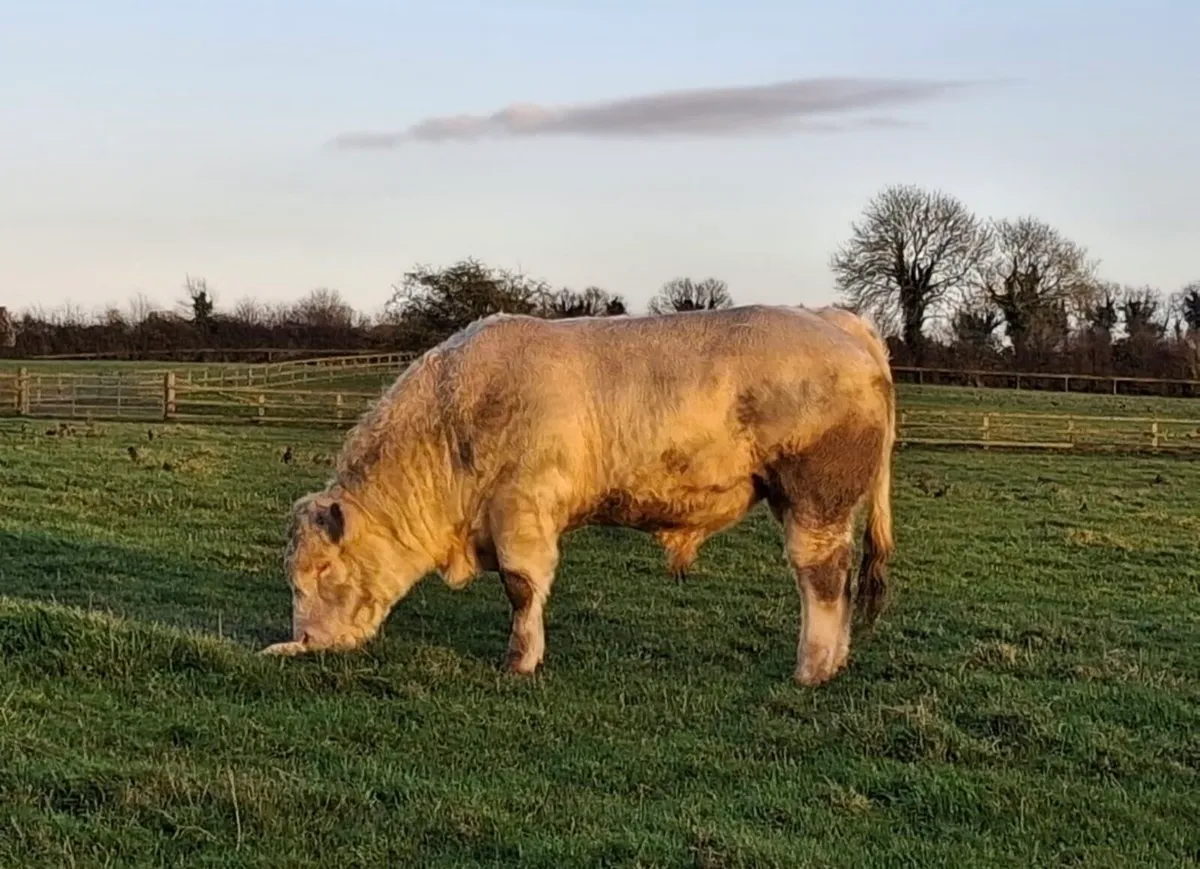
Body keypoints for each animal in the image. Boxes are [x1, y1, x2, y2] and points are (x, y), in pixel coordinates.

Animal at [261, 304, 895, 686]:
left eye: (322, 570)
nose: (307, 640)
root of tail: (837, 320)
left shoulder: (522, 508)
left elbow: (522, 587)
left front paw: (519, 660)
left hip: (817, 498)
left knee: (822, 577)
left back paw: (812, 668)